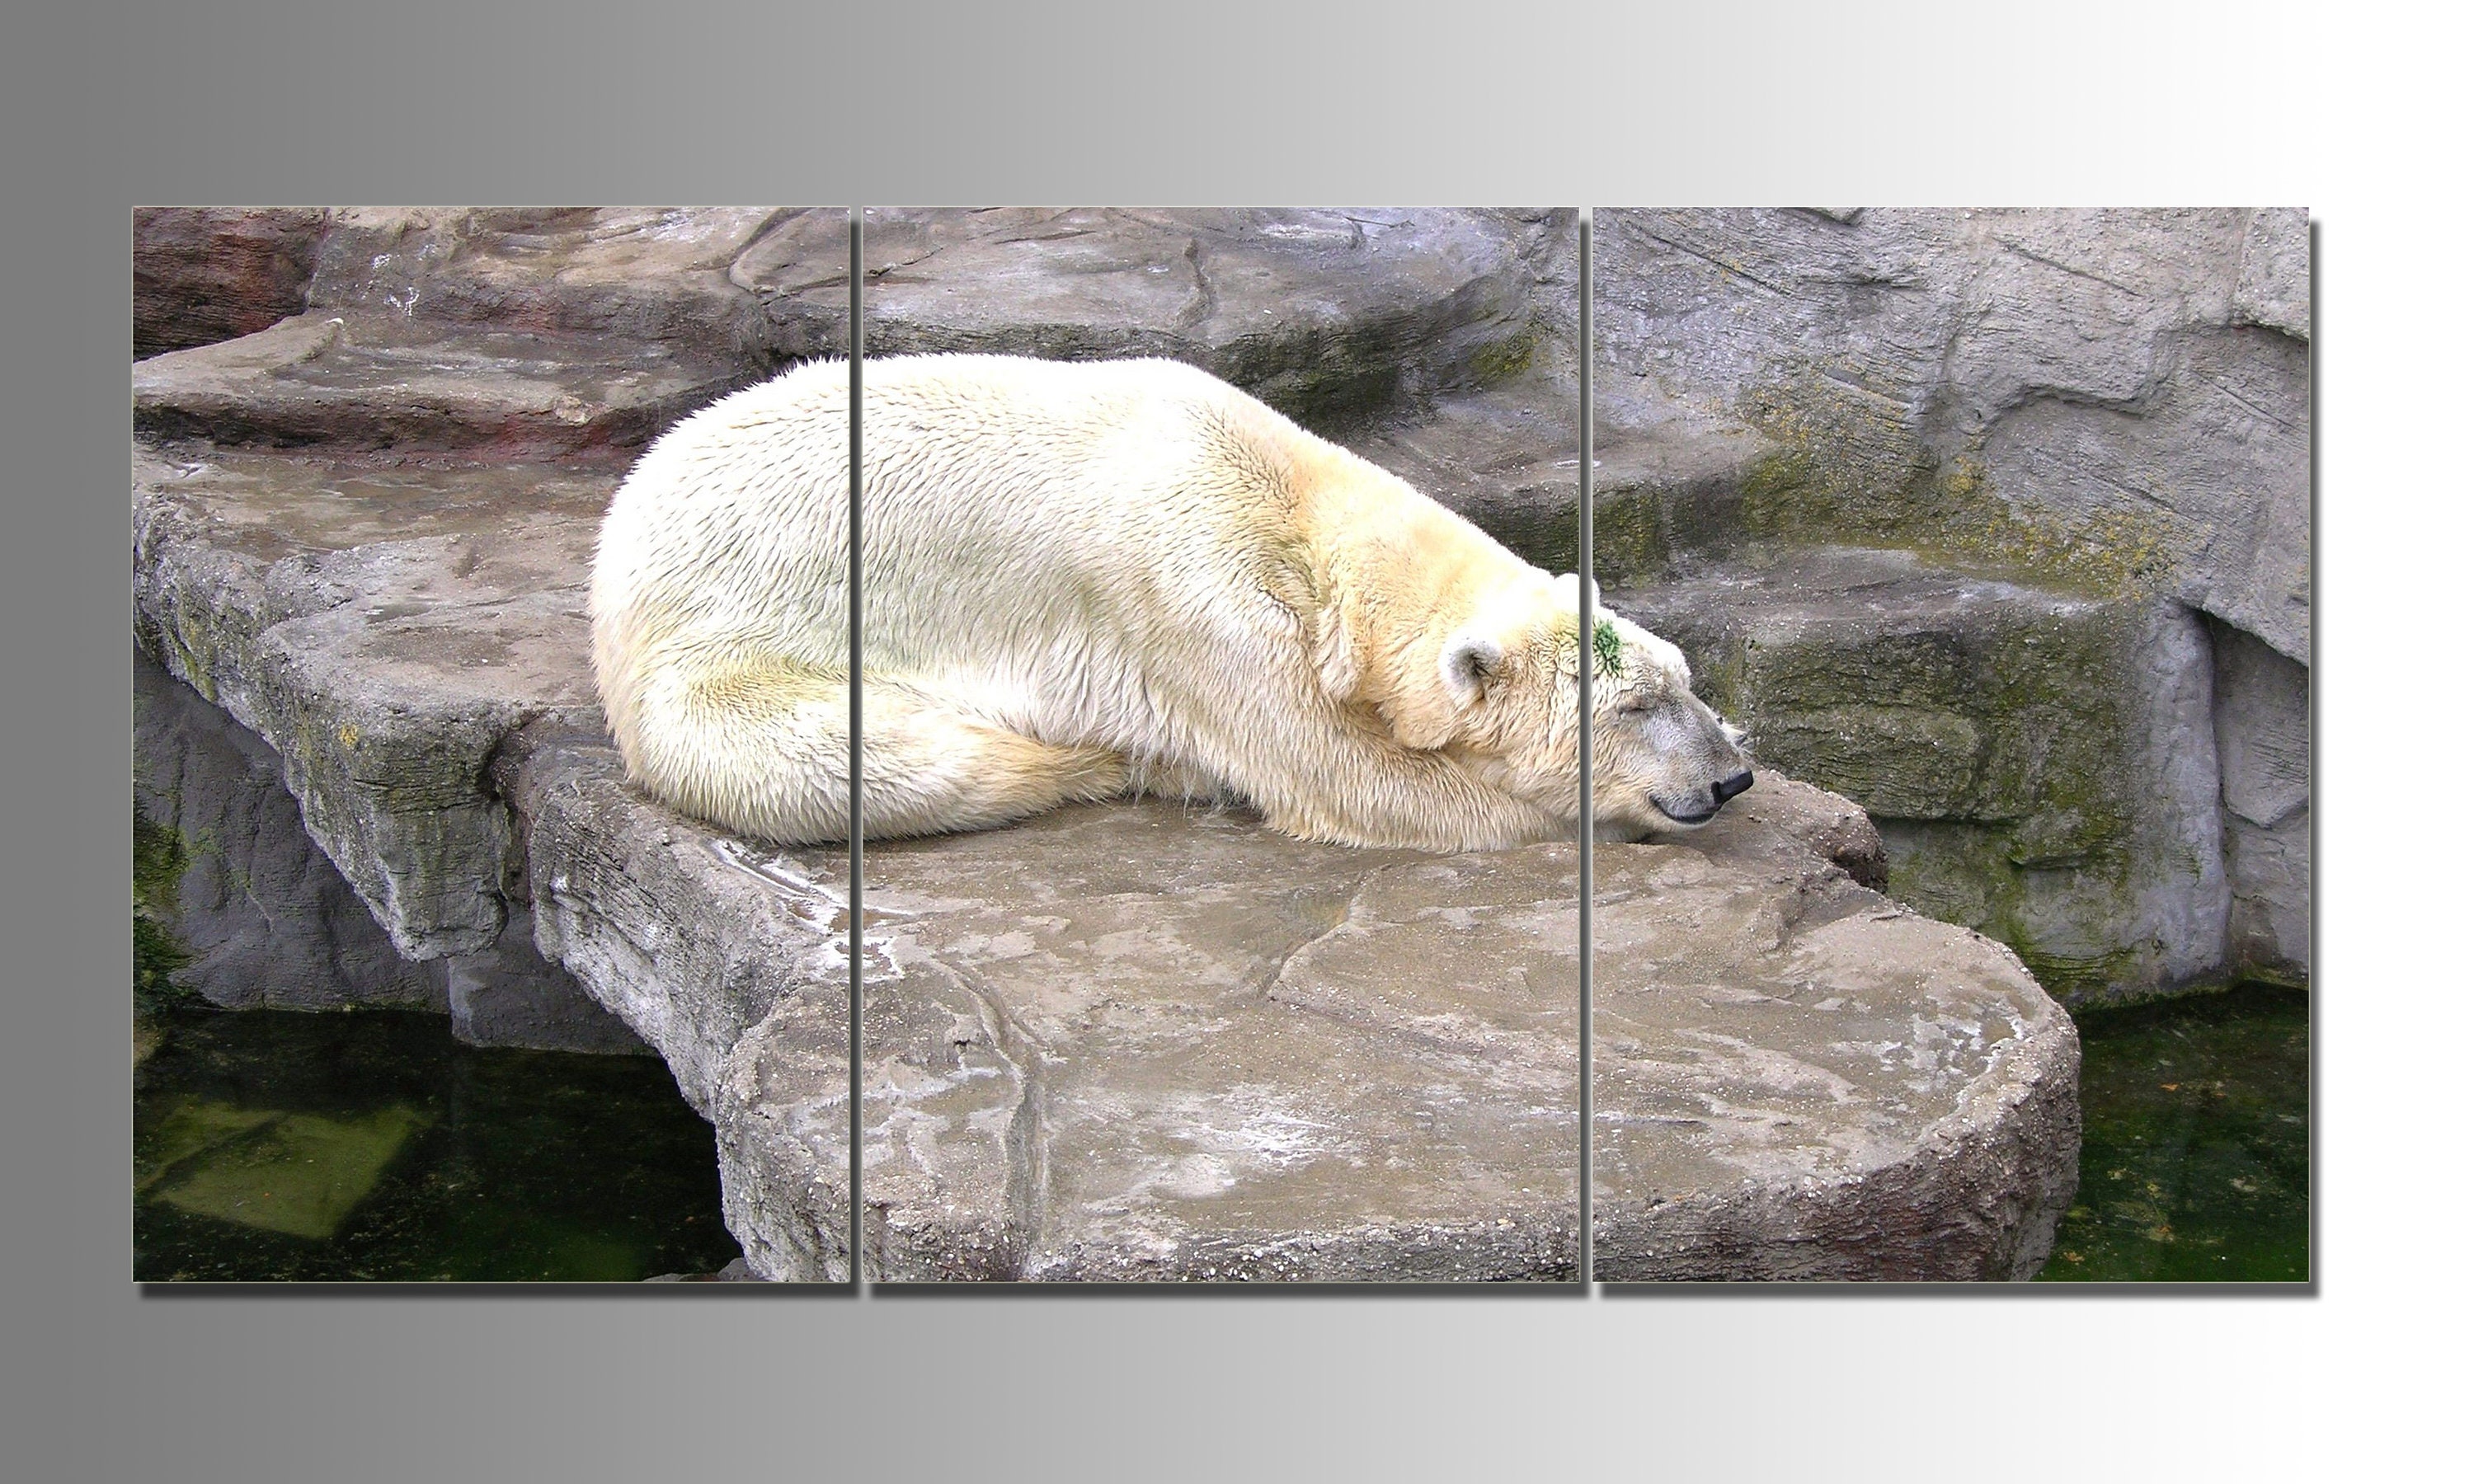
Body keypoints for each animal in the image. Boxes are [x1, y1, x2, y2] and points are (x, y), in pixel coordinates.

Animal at [590, 353, 1753, 852]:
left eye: (1686, 682)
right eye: (1633, 708)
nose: (1731, 778)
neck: (1300, 512)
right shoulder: (1194, 598)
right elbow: (1355, 782)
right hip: (717, 660)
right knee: (884, 761)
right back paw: (1097, 761)